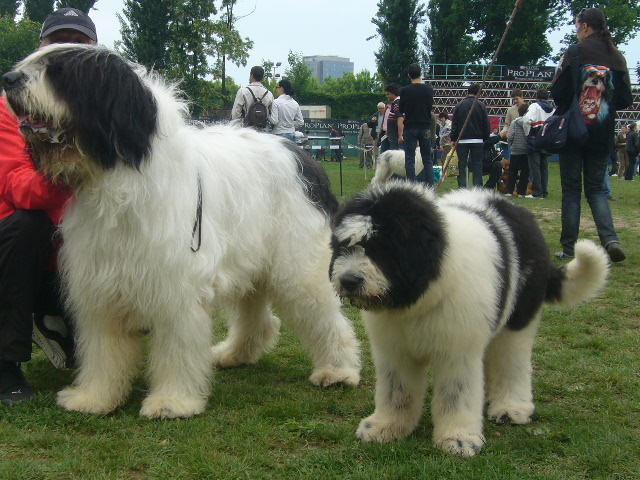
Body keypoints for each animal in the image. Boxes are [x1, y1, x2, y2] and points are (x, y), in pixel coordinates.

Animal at [3, 46, 360, 420]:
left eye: (59, 72)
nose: (8, 80)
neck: (119, 173)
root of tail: (306, 157)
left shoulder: (175, 286)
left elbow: (176, 348)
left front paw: (171, 401)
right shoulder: (102, 282)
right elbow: (104, 348)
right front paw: (95, 397)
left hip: (297, 263)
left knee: (324, 315)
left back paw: (338, 370)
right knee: (257, 316)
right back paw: (235, 353)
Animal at [332, 182, 608, 456]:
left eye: (382, 247)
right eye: (344, 246)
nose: (348, 280)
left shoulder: (457, 349)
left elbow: (456, 394)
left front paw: (458, 438)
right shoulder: (395, 349)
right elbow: (397, 391)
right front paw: (386, 426)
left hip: (518, 320)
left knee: (513, 363)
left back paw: (511, 407)